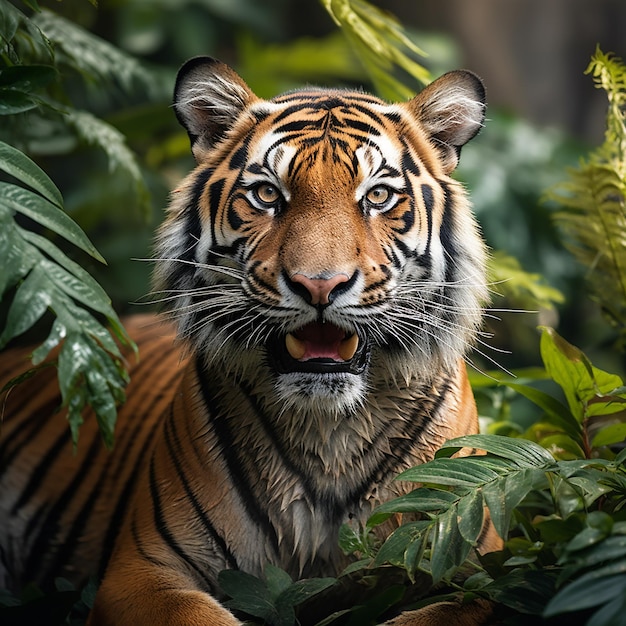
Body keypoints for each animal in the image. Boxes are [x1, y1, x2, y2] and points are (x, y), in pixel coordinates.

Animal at [2, 56, 494, 620]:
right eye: (267, 195)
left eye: (377, 196)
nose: (319, 285)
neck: (329, 433)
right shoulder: (142, 569)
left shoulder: (472, 565)